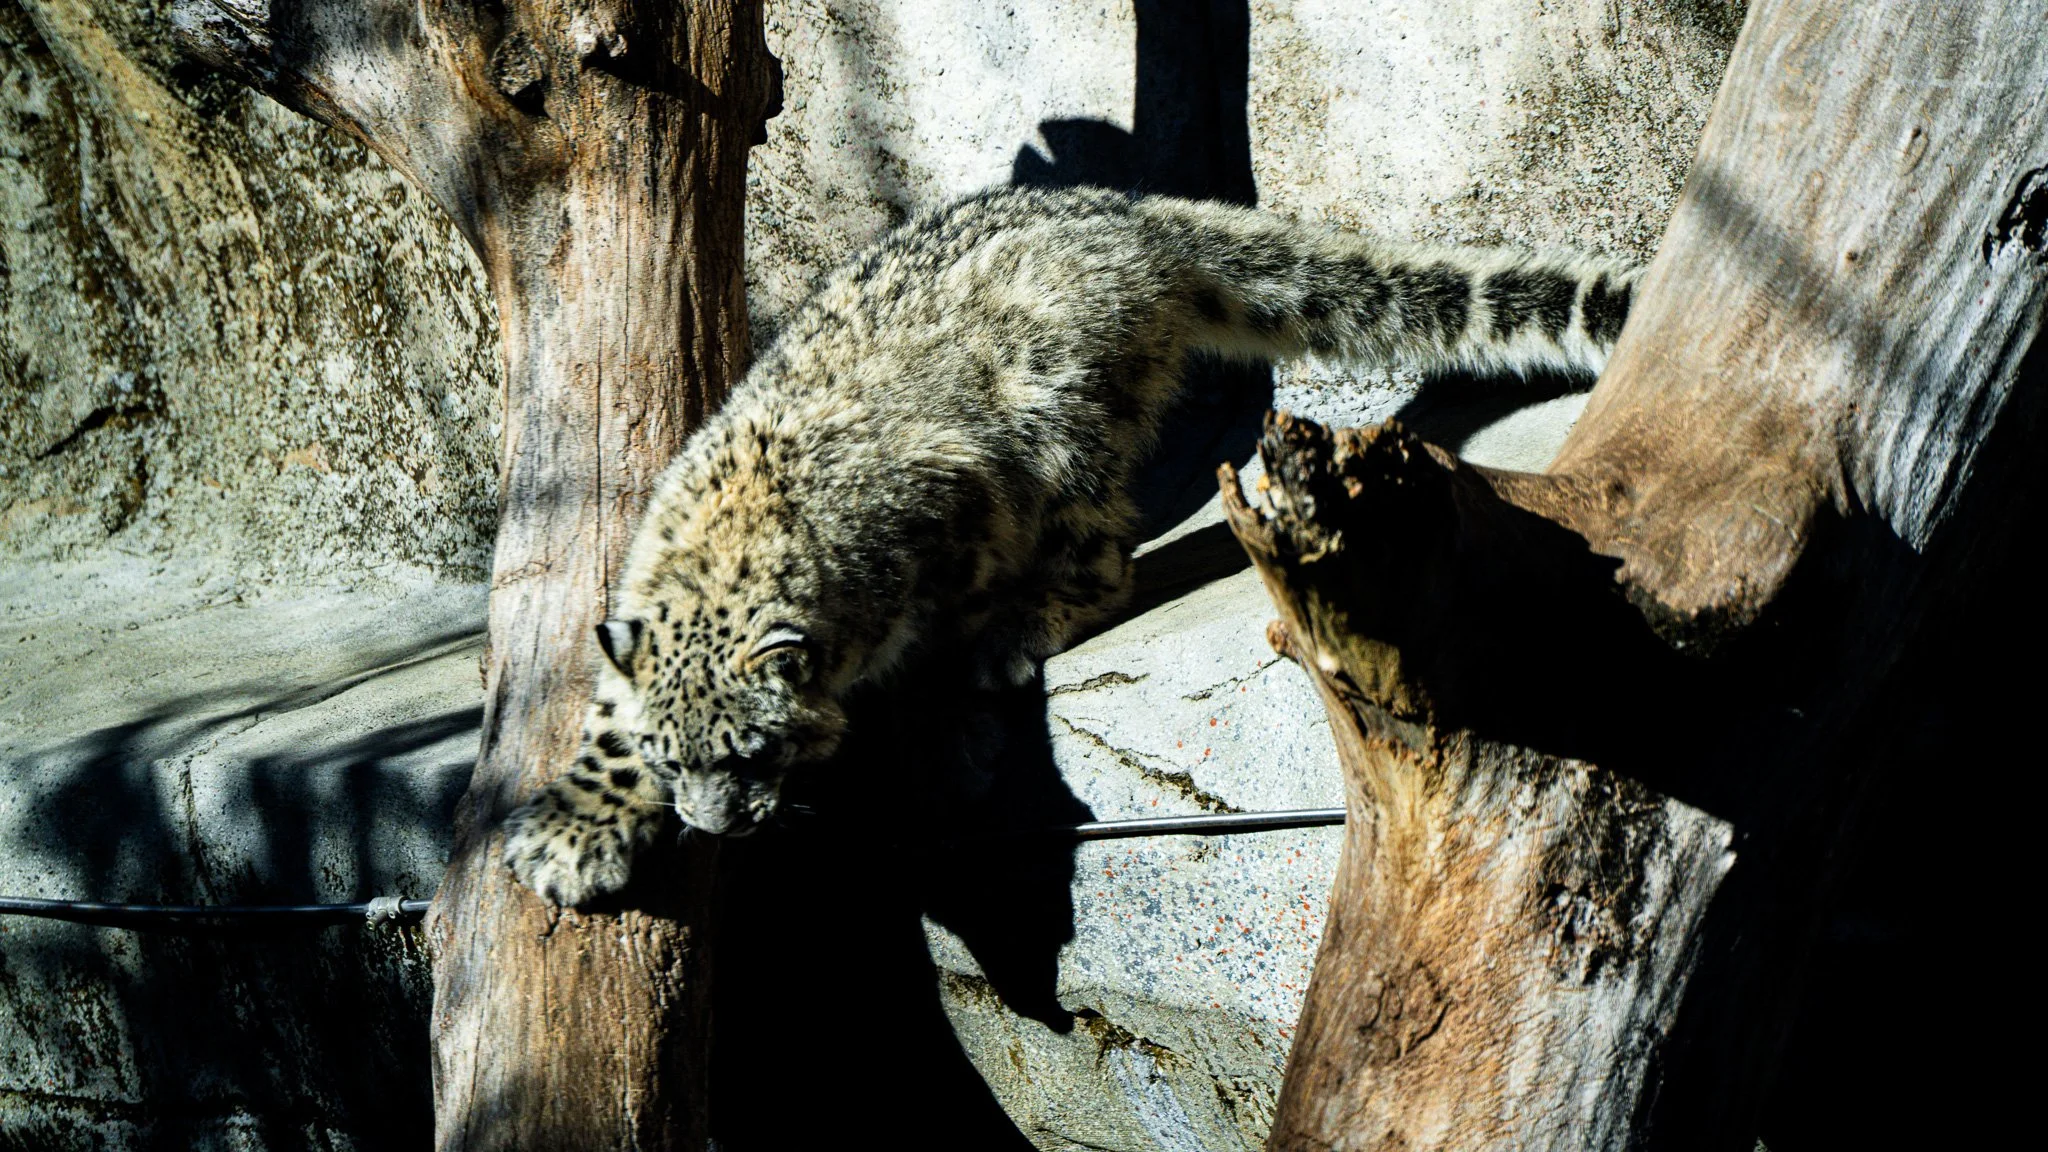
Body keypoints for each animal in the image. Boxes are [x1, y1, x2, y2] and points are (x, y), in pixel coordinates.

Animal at [503, 185, 1640, 907]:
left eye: (756, 750)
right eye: (670, 754)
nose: (716, 825)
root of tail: (1126, 215)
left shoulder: (951, 529)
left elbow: (937, 639)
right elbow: (606, 715)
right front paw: (568, 831)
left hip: (1067, 425)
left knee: (1101, 554)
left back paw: (1024, 622)